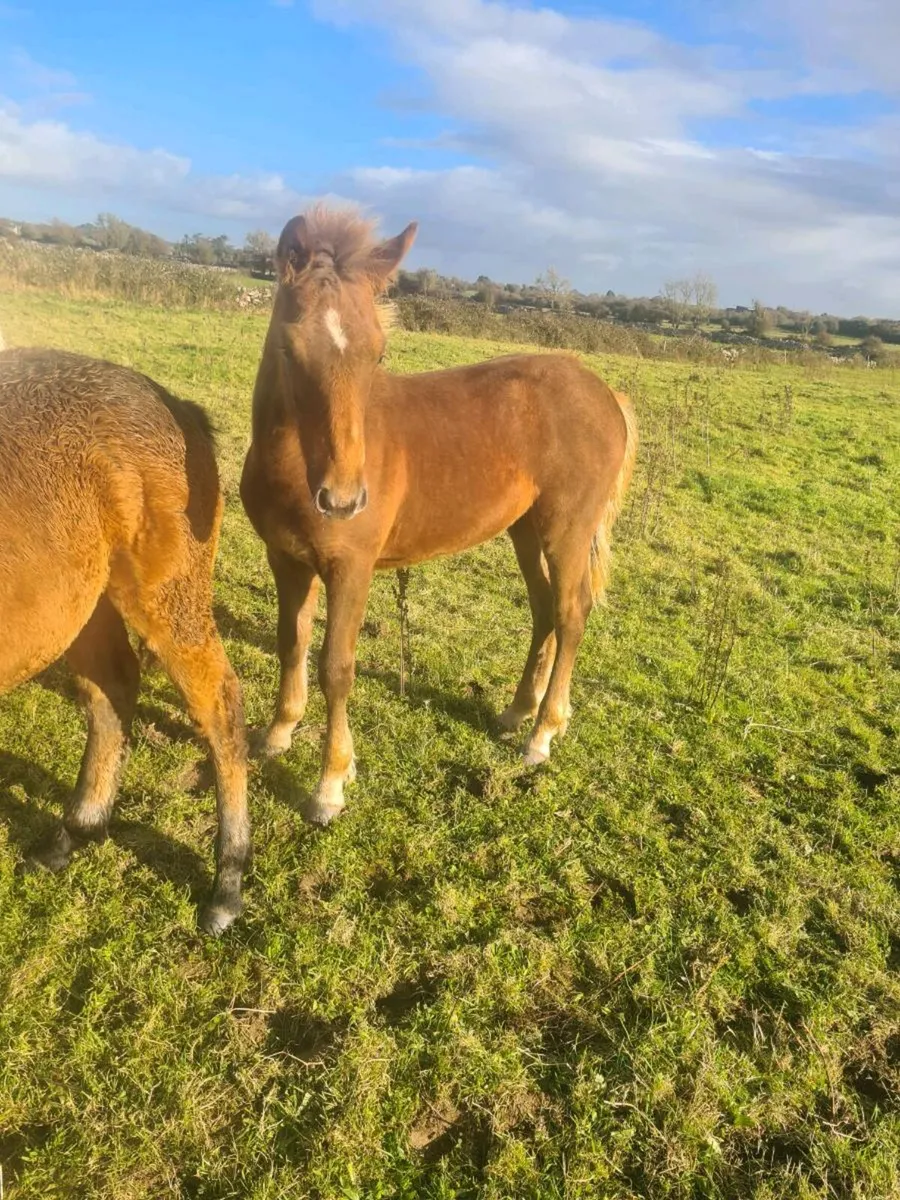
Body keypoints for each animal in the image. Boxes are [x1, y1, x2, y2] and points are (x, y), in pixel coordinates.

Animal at [0, 346, 249, 935]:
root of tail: (173, 402)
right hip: (85, 602)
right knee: (113, 689)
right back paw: (74, 833)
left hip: (163, 598)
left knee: (220, 705)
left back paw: (227, 884)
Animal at [240, 206, 637, 825]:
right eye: (288, 348)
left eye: (378, 351)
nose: (343, 501)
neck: (293, 472)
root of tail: (605, 394)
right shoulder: (285, 558)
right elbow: (291, 641)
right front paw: (278, 733)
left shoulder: (351, 568)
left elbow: (337, 668)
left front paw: (330, 785)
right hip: (524, 530)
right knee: (545, 610)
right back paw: (515, 713)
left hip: (566, 529)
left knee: (572, 613)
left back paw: (542, 735)